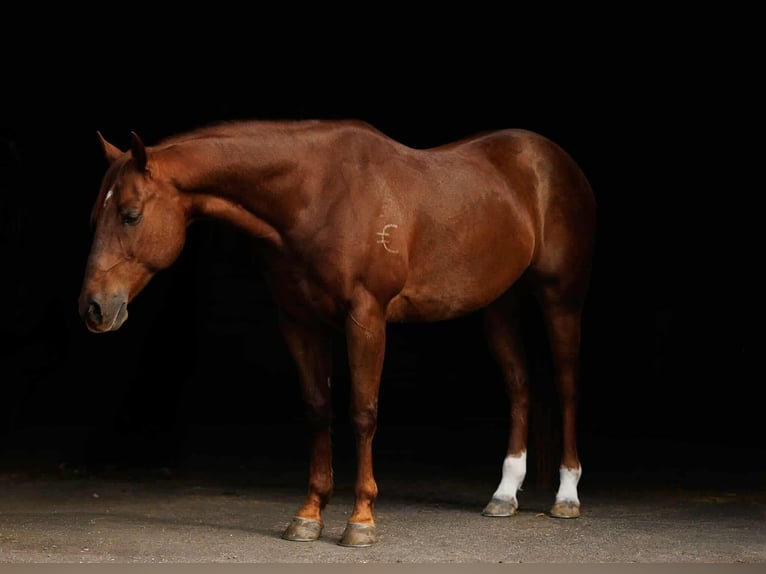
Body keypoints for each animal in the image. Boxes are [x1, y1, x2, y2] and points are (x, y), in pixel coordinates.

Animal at [78, 119, 596, 547]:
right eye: (95, 216)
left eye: (130, 214)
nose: (94, 308)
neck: (317, 194)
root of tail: (551, 158)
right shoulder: (299, 322)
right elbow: (317, 410)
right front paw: (308, 515)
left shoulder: (365, 317)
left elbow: (362, 412)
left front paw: (360, 520)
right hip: (498, 304)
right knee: (520, 387)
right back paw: (504, 494)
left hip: (561, 297)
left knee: (568, 385)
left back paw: (566, 496)